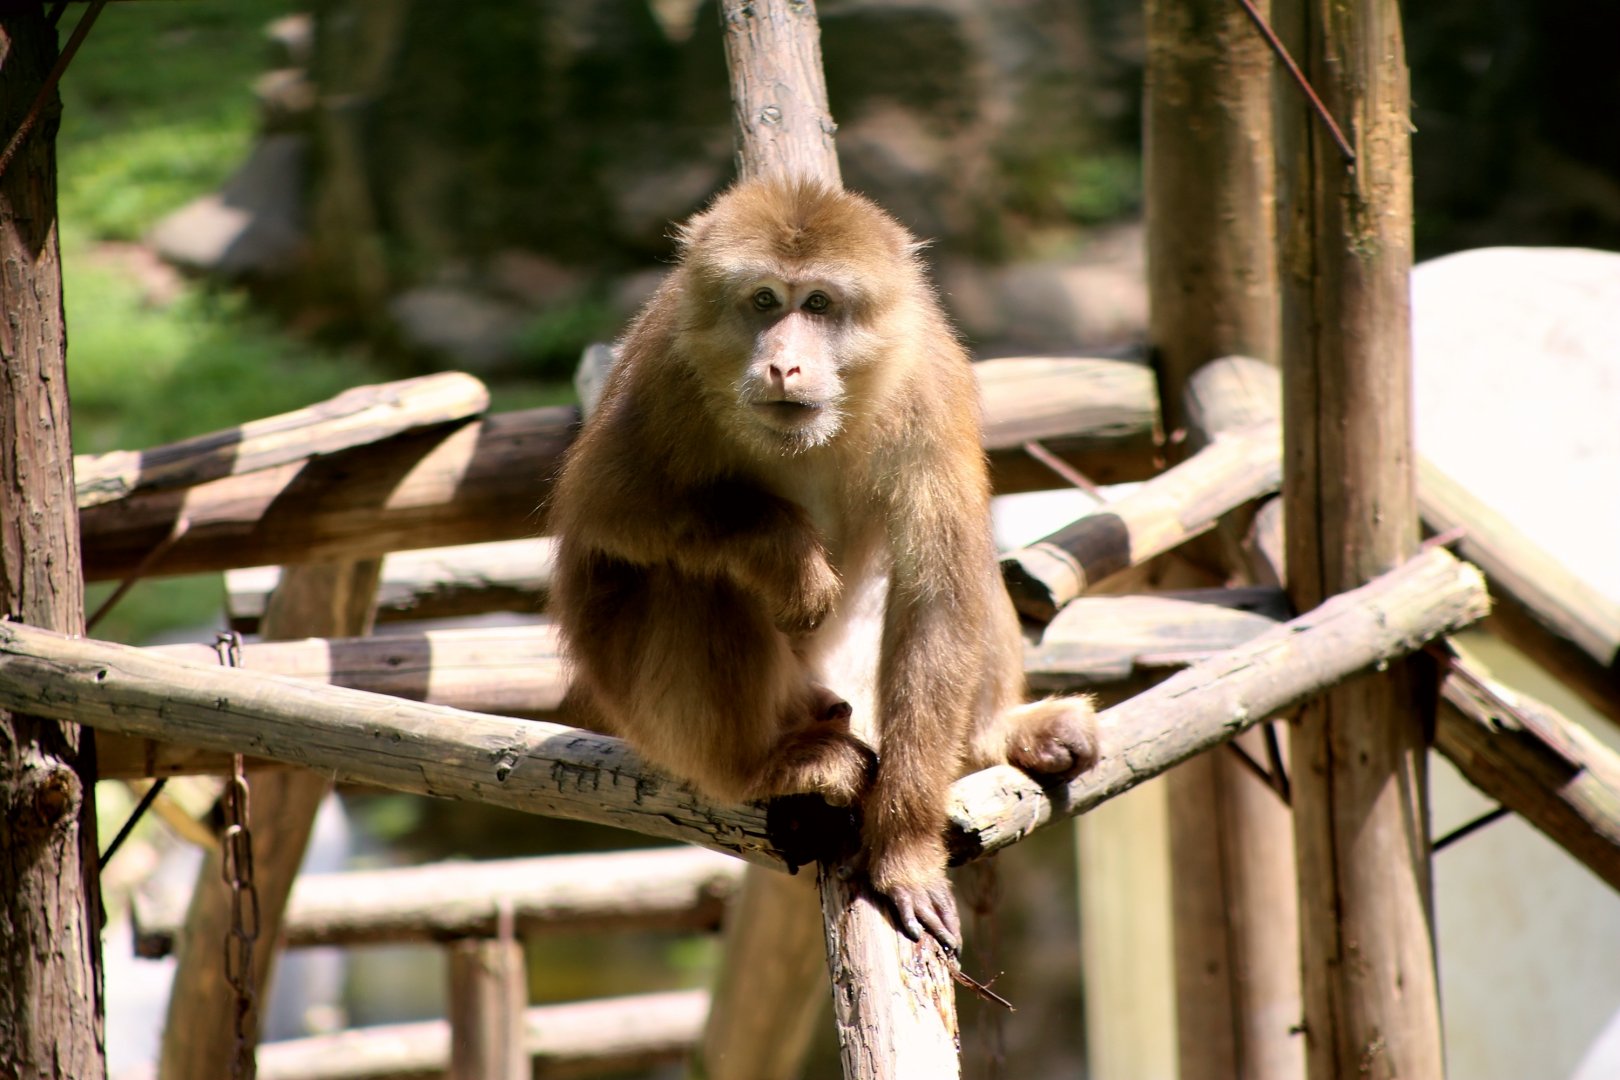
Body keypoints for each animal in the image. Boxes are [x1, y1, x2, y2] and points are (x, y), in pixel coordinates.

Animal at [548, 176, 1097, 952]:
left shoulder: (929, 380)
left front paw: (904, 851)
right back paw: (760, 767)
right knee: (695, 580)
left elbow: (938, 590)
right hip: (655, 715)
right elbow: (603, 510)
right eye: (763, 301)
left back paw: (994, 733)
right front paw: (787, 555)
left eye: (816, 304)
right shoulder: (665, 371)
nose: (783, 362)